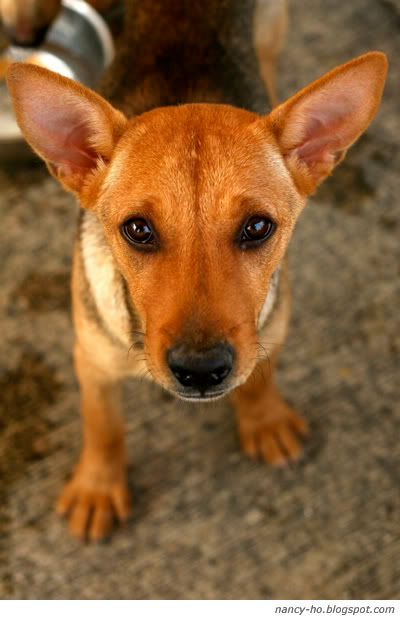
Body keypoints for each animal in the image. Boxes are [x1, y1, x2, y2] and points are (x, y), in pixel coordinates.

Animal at [7, 0, 388, 540]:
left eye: (257, 226)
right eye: (138, 230)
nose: (201, 371)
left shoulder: (270, 327)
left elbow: (261, 373)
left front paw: (264, 419)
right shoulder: (92, 360)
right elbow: (103, 426)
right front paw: (98, 485)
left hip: (271, 29)